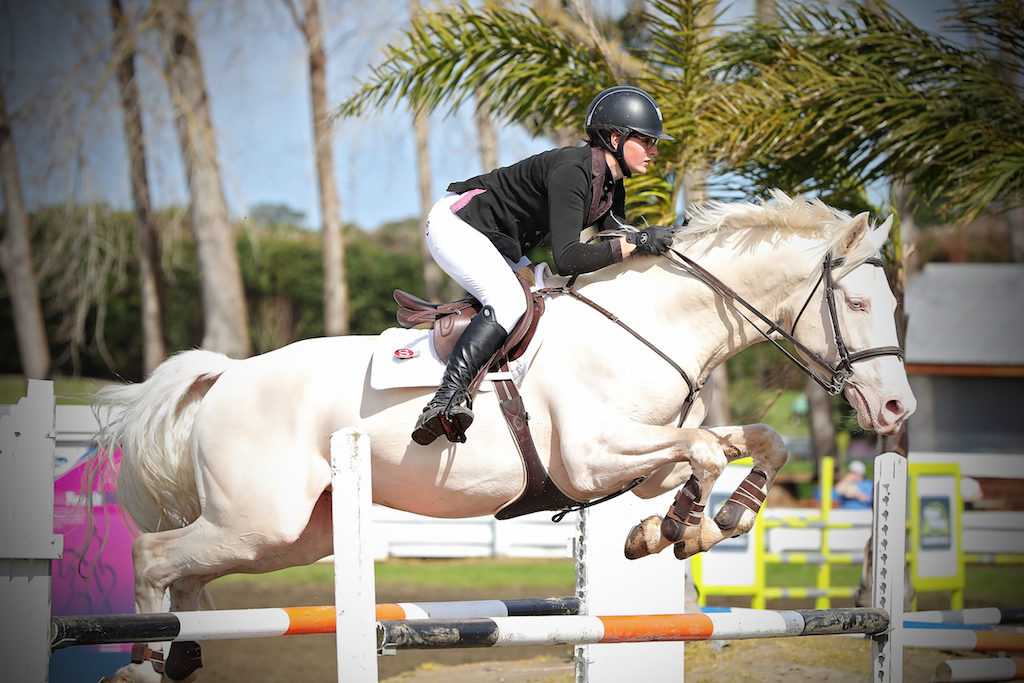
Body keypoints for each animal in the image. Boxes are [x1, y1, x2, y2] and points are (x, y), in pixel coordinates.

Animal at [96, 189, 913, 679]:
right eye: (858, 303)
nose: (898, 410)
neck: (653, 324)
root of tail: (224, 377)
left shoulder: (640, 460)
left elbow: (753, 443)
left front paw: (691, 523)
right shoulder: (592, 459)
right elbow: (709, 450)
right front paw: (681, 531)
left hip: (292, 535)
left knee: (190, 580)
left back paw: (180, 655)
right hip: (256, 520)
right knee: (153, 556)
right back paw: (144, 658)